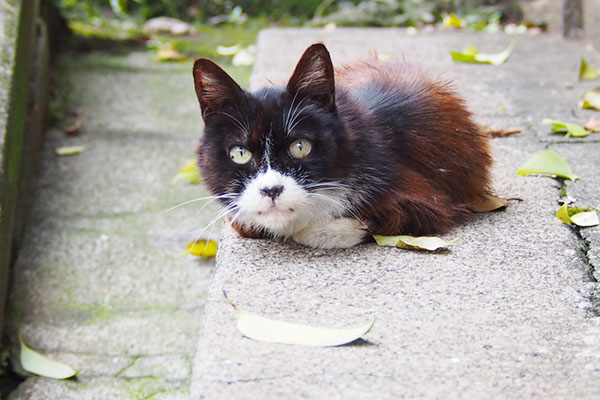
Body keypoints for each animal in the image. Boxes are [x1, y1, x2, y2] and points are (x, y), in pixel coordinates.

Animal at [195, 44, 494, 250]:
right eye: (240, 153)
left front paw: (318, 230)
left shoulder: (425, 198)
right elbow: (243, 221)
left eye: (300, 147)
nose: (271, 190)